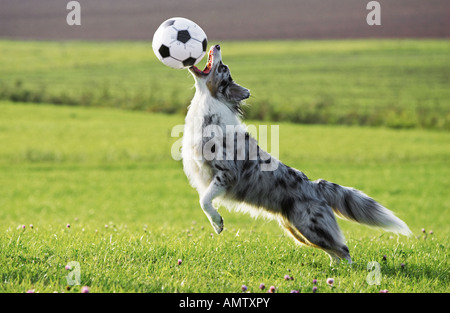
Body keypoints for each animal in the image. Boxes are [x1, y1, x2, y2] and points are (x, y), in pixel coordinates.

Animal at [183, 44, 412, 264]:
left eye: (223, 68)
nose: (217, 45)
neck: (209, 107)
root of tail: (315, 186)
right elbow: (203, 199)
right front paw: (216, 224)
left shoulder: (225, 175)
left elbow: (204, 200)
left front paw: (218, 223)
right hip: (297, 230)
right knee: (334, 252)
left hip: (311, 227)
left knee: (344, 251)